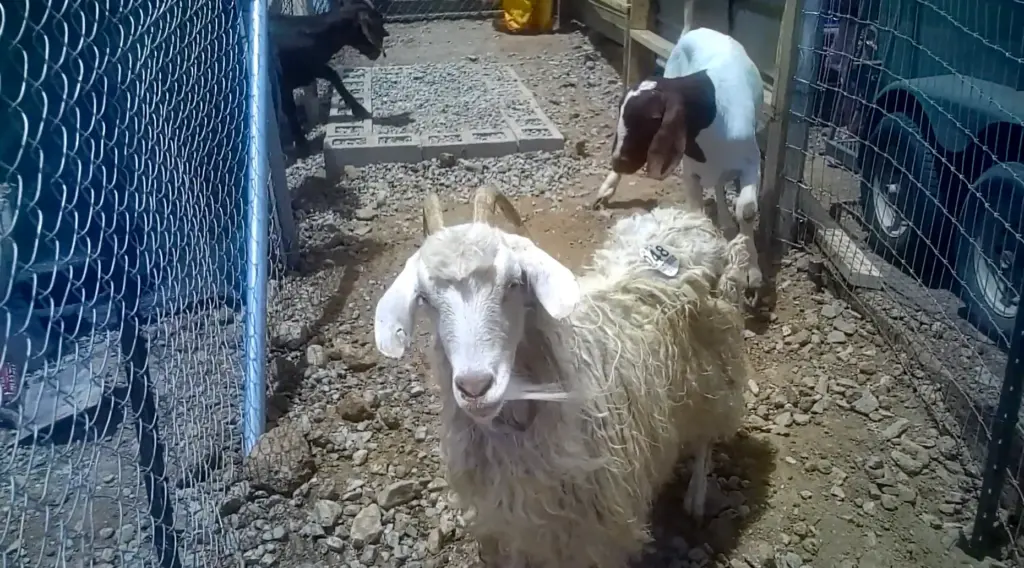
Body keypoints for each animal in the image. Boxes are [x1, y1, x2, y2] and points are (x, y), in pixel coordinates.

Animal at [270, 0, 388, 154]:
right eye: (372, 24)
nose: (378, 52)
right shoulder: (284, 82)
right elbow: (289, 109)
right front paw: (301, 143)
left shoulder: (312, 69)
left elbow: (333, 75)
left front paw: (359, 109)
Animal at [374, 186, 749, 568]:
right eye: (425, 298)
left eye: (513, 283)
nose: (474, 387)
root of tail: (682, 216)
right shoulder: (517, 527)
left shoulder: (598, 533)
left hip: (714, 364)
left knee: (708, 434)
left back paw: (697, 498)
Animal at [593, 0, 765, 292]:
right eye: (621, 112)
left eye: (650, 119)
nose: (617, 161)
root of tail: (692, 30)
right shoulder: (689, 170)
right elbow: (696, 215)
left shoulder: (751, 161)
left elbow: (747, 210)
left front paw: (751, 271)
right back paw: (606, 189)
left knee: (721, 185)